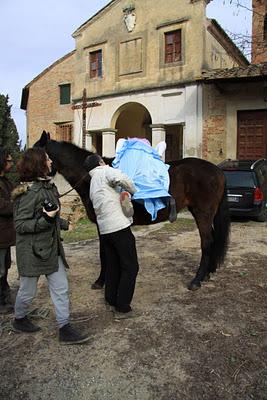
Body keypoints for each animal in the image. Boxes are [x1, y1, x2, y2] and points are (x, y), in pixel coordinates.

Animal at [35, 131, 232, 290]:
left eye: (34, 152)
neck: (92, 175)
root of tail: (217, 171)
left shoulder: (102, 223)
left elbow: (104, 252)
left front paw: (100, 282)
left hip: (202, 213)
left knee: (206, 243)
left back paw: (197, 280)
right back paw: (207, 274)